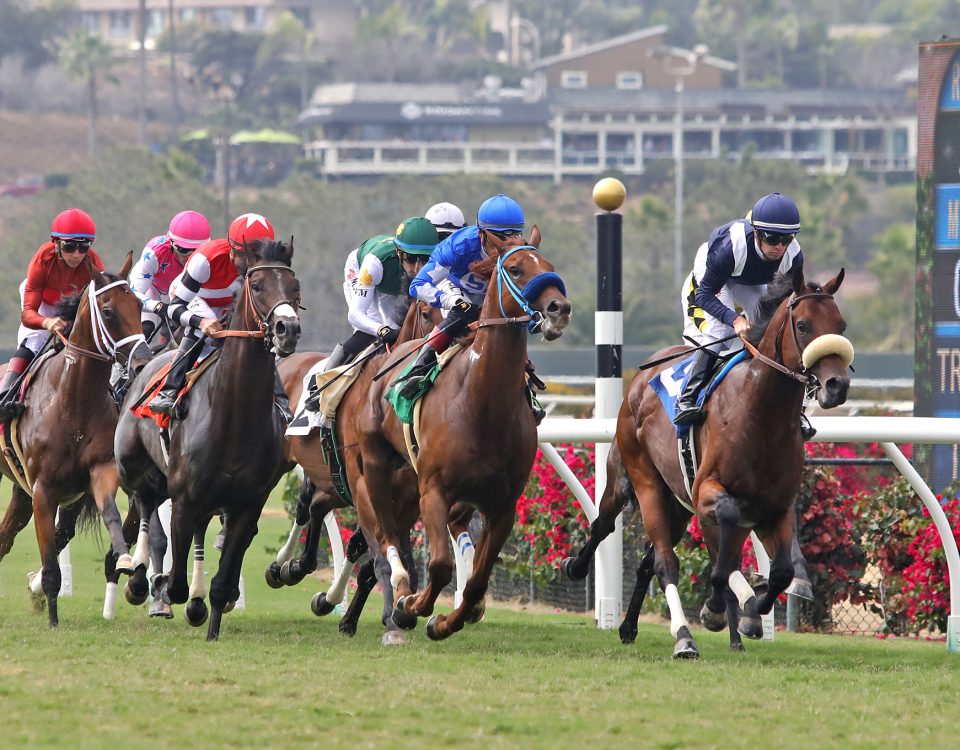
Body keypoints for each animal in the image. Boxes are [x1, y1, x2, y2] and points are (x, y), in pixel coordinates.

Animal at [0, 260, 152, 628]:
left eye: (138, 305)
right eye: (108, 311)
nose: (143, 360)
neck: (72, 402)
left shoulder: (101, 472)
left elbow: (112, 516)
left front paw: (125, 560)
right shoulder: (44, 490)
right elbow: (50, 562)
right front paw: (53, 618)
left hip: (21, 492)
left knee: (5, 537)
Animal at [115, 239, 300, 640]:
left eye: (294, 286)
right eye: (257, 285)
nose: (287, 328)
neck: (234, 415)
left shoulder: (247, 505)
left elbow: (221, 580)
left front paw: (211, 620)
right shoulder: (185, 498)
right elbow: (175, 581)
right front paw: (162, 587)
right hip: (133, 468)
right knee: (144, 505)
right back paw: (137, 578)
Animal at [358, 241, 568, 640]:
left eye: (549, 264)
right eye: (515, 269)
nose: (558, 308)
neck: (482, 404)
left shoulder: (503, 506)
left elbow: (477, 581)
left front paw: (444, 622)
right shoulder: (433, 490)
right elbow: (440, 564)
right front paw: (413, 606)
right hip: (376, 463)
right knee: (385, 532)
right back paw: (400, 590)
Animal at [564, 270, 848, 656]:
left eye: (841, 325)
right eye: (803, 326)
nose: (837, 385)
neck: (761, 415)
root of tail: (638, 382)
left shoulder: (776, 505)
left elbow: (781, 572)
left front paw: (754, 608)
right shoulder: (708, 492)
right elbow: (725, 540)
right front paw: (718, 609)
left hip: (677, 504)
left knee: (650, 562)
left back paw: (631, 627)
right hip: (640, 481)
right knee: (639, 547)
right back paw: (680, 635)